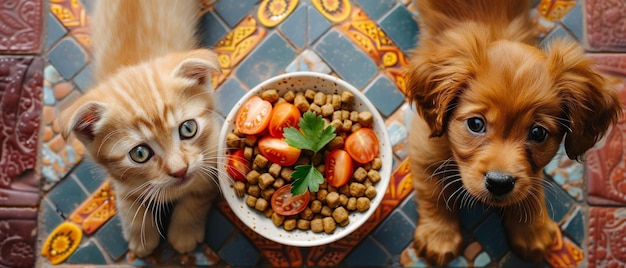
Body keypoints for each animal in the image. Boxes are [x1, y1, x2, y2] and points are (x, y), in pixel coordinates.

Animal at [56, 0, 222, 258]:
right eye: (140, 153)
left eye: (188, 129)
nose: (180, 171)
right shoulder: (119, 178)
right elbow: (127, 203)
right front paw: (140, 236)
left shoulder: (214, 148)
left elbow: (198, 196)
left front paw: (184, 233)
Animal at [402, 0, 620, 264]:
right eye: (475, 124)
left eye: (537, 133)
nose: (499, 183)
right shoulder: (424, 143)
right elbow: (433, 191)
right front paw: (438, 236)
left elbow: (531, 182)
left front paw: (531, 229)